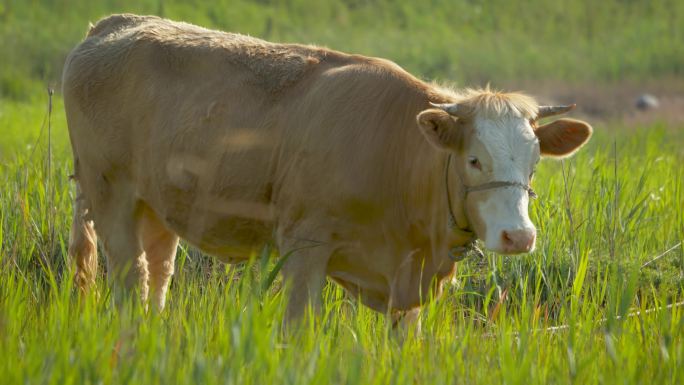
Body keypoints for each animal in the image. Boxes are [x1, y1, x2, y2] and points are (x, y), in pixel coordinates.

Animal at [61, 13, 592, 322]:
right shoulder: (305, 246)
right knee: (128, 276)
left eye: (534, 163)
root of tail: (112, 24)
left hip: (156, 205)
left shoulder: (407, 284)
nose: (518, 236)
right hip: (110, 194)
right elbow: (299, 329)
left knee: (158, 273)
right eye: (474, 159)